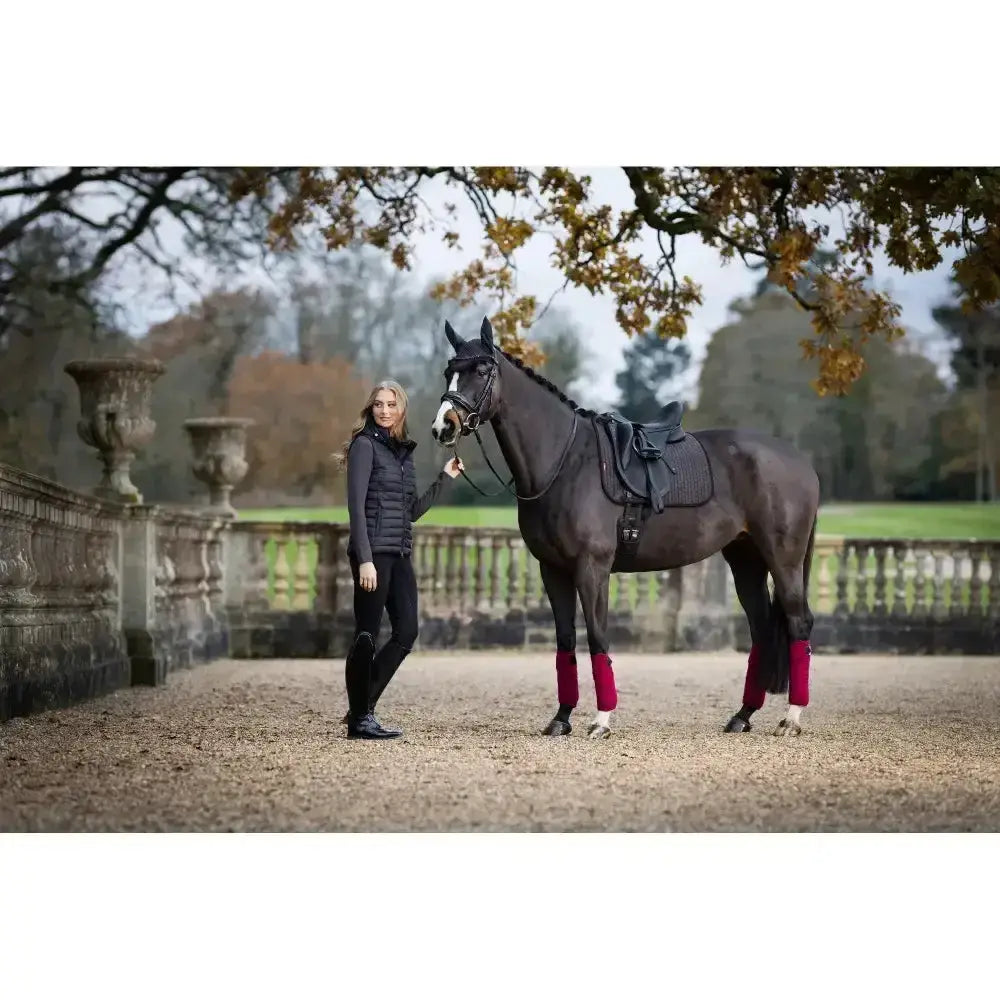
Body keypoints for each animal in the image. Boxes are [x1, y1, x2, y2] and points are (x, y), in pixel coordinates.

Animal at [431, 317, 820, 740]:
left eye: (481, 370)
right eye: (450, 371)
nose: (443, 426)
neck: (566, 462)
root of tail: (801, 462)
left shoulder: (592, 568)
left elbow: (597, 636)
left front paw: (601, 720)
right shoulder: (553, 570)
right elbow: (565, 641)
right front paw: (561, 717)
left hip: (783, 559)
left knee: (798, 624)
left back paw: (791, 719)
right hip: (746, 559)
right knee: (763, 631)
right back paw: (743, 715)